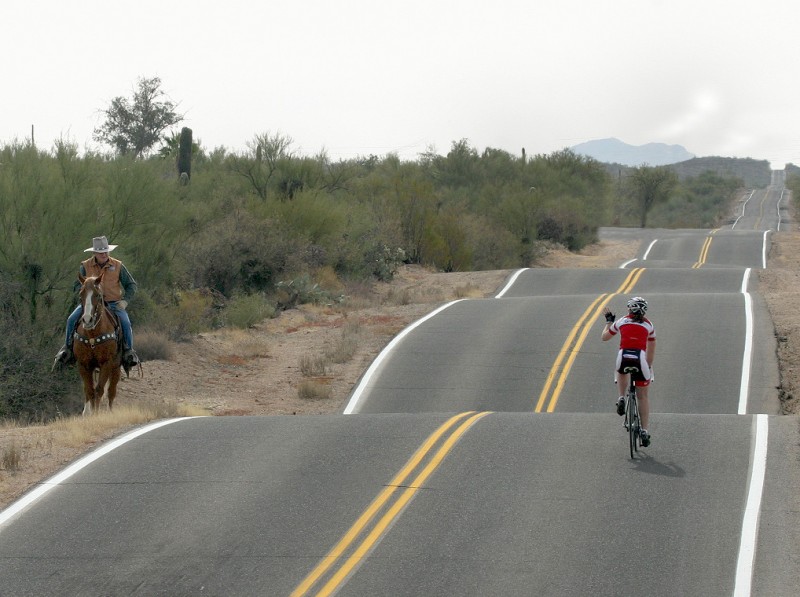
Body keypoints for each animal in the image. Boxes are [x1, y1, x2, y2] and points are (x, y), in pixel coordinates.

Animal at [73, 271, 123, 415]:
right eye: (81, 294)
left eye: (98, 295)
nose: (87, 320)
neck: (92, 335)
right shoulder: (83, 365)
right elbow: (89, 391)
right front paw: (89, 414)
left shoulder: (106, 363)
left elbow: (99, 390)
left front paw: (96, 414)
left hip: (116, 368)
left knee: (111, 392)